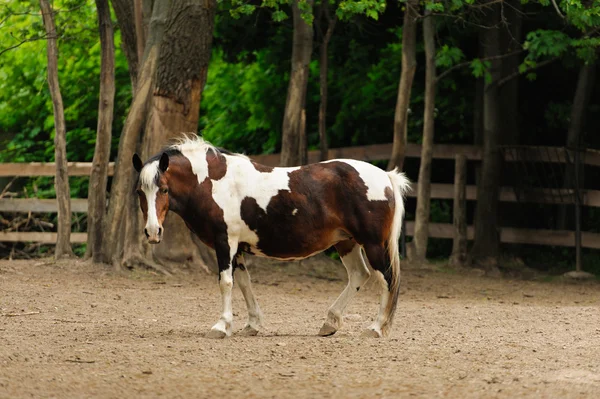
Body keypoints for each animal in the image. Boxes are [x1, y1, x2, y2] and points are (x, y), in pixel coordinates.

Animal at [133, 136, 410, 340]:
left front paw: (221, 326)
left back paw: (375, 328)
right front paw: (252, 325)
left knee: (386, 279)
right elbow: (244, 283)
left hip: (372, 244)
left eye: (164, 189)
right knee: (359, 275)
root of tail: (386, 176)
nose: (153, 232)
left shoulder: (225, 243)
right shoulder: (237, 248)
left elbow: (226, 283)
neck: (212, 182)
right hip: (346, 242)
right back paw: (329, 323)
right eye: (139, 191)